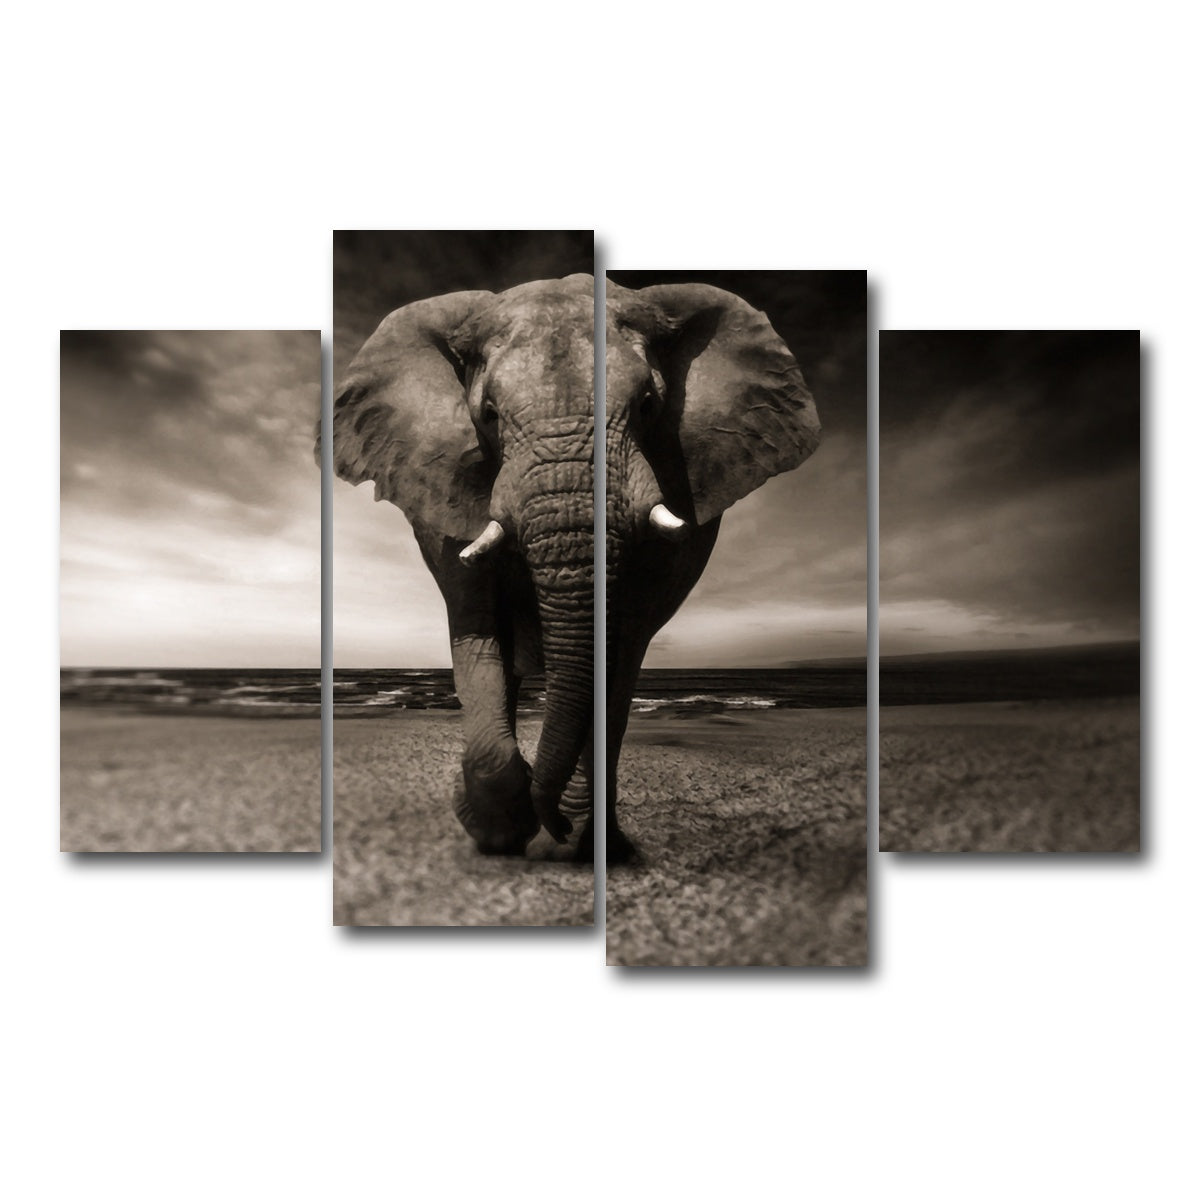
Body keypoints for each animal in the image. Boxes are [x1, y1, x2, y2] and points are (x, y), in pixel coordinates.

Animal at [326, 272, 820, 864]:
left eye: (649, 405)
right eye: (488, 415)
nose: (554, 824)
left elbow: (620, 647)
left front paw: (570, 838)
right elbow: (477, 628)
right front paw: (501, 832)